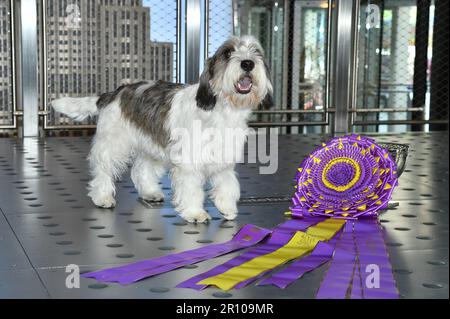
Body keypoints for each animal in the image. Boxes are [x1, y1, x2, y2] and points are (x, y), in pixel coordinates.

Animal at [51, 35, 272, 222]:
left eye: (256, 52)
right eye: (227, 53)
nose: (248, 63)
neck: (222, 110)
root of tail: (114, 93)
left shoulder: (223, 160)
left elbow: (228, 184)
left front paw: (226, 207)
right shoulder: (189, 163)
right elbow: (192, 188)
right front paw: (194, 212)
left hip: (151, 145)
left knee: (141, 168)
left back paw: (149, 192)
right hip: (113, 145)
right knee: (103, 170)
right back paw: (102, 197)